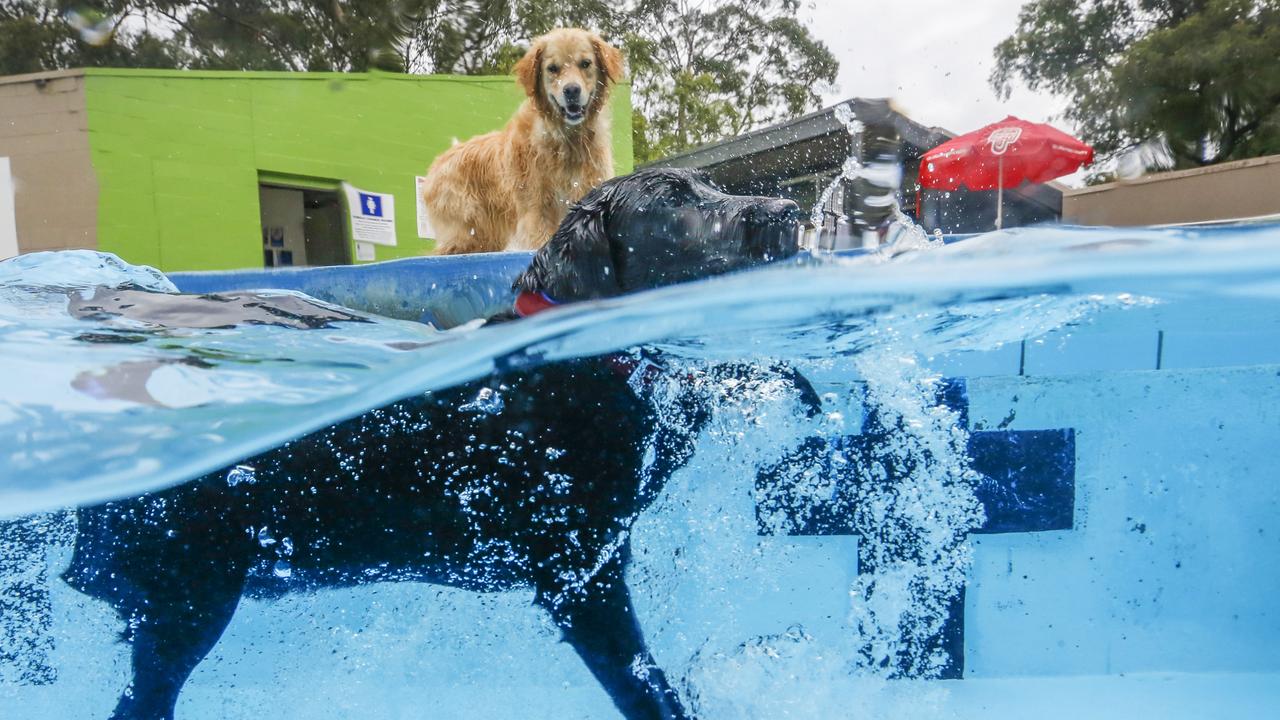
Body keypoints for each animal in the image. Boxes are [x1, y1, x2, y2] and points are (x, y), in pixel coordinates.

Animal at [64, 165, 814, 712]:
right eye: (675, 203)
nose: (791, 212)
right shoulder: (578, 575)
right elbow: (645, 687)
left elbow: (700, 388)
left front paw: (791, 384)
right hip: (191, 596)